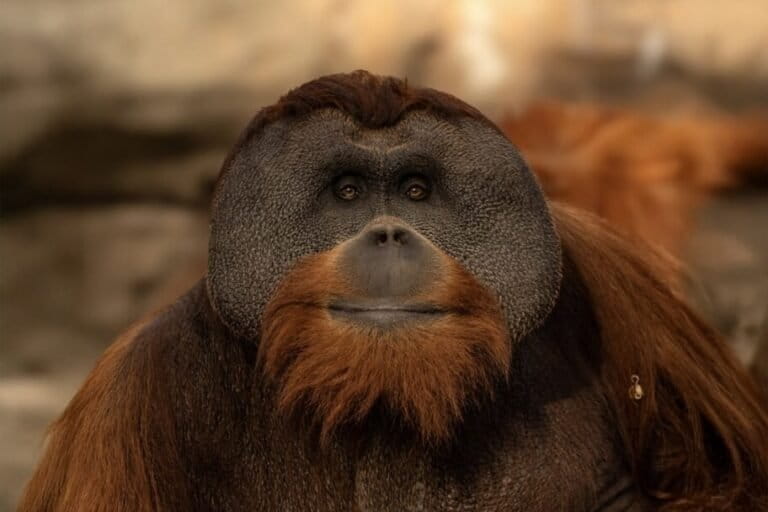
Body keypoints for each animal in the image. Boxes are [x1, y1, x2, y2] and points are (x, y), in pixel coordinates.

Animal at [19, 71, 768, 511]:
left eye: (414, 191)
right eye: (349, 192)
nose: (387, 232)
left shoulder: (619, 282)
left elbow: (732, 482)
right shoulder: (127, 398)